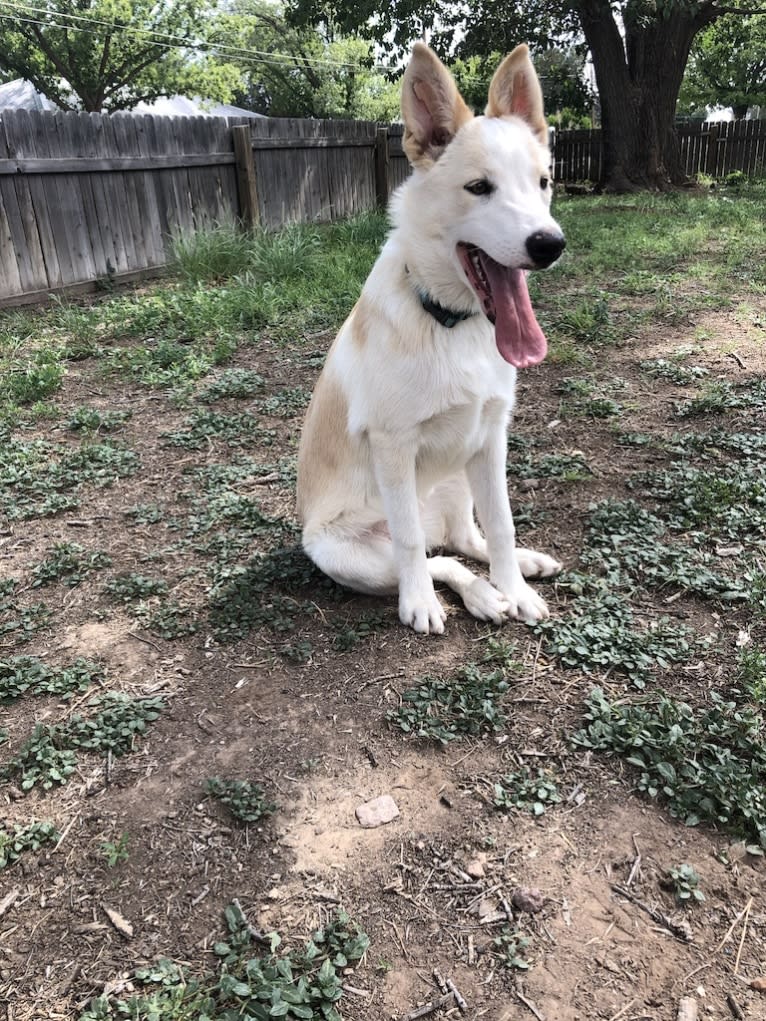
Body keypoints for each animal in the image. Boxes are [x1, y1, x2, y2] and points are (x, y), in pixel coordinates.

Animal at [296, 43, 567, 633]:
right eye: (479, 188)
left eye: (542, 183)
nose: (550, 244)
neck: (450, 320)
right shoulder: (393, 445)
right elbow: (410, 544)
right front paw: (422, 603)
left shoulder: (491, 438)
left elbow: (503, 524)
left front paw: (516, 586)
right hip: (345, 552)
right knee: (432, 556)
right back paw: (476, 594)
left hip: (460, 477)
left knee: (466, 540)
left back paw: (517, 570)